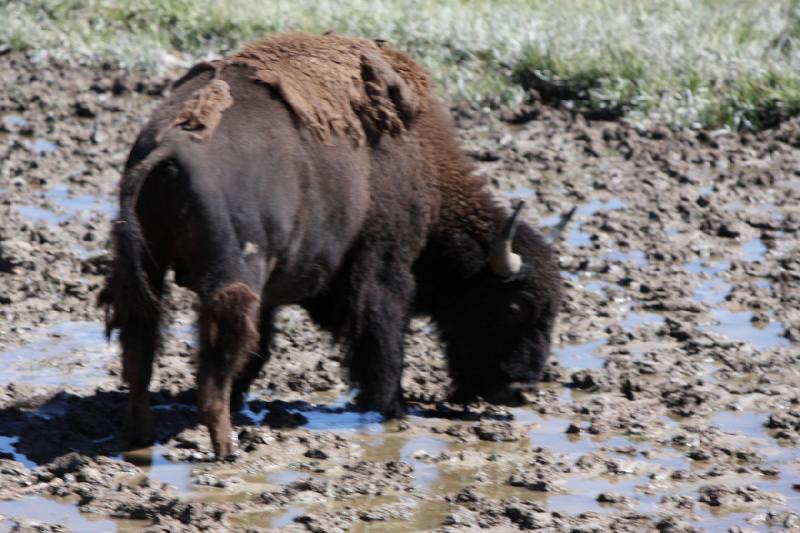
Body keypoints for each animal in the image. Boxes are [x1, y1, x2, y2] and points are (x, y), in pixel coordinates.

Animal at [100, 32, 564, 458]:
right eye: (516, 306)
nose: (521, 389)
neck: (425, 167)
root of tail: (169, 145)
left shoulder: (274, 293)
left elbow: (260, 350)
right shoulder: (383, 269)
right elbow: (383, 338)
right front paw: (393, 406)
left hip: (145, 274)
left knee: (141, 351)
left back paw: (142, 437)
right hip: (230, 280)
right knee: (211, 369)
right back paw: (225, 448)